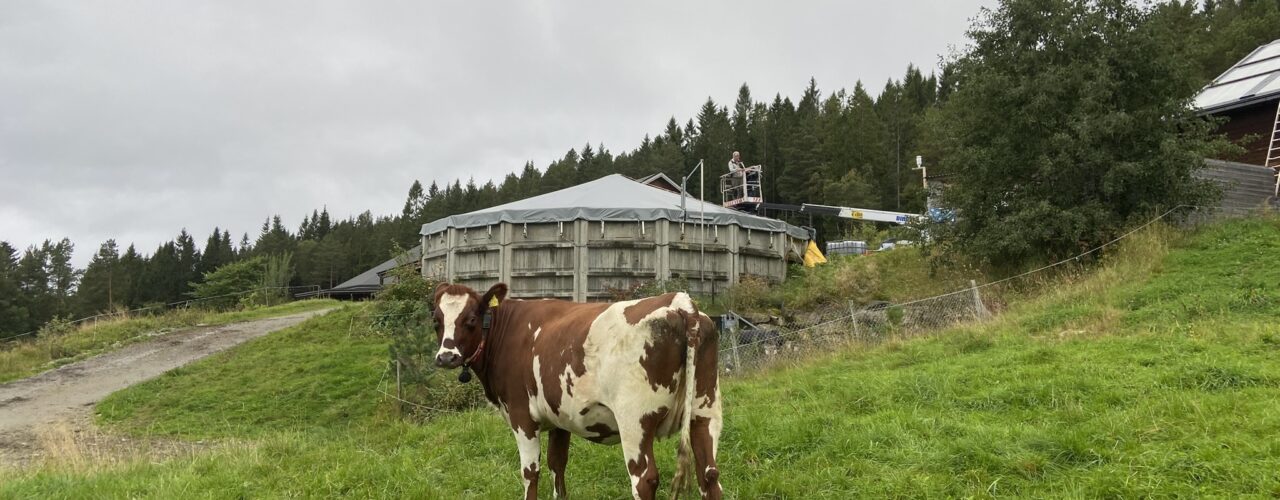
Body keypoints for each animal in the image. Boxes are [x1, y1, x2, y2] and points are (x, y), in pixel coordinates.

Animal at [435, 283, 727, 498]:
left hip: (635, 422)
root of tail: (680, 304)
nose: (446, 357)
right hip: (705, 411)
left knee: (644, 480)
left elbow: (530, 472)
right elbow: (557, 464)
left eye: (471, 319)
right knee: (709, 475)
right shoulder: (559, 418)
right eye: (436, 319)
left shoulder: (521, 416)